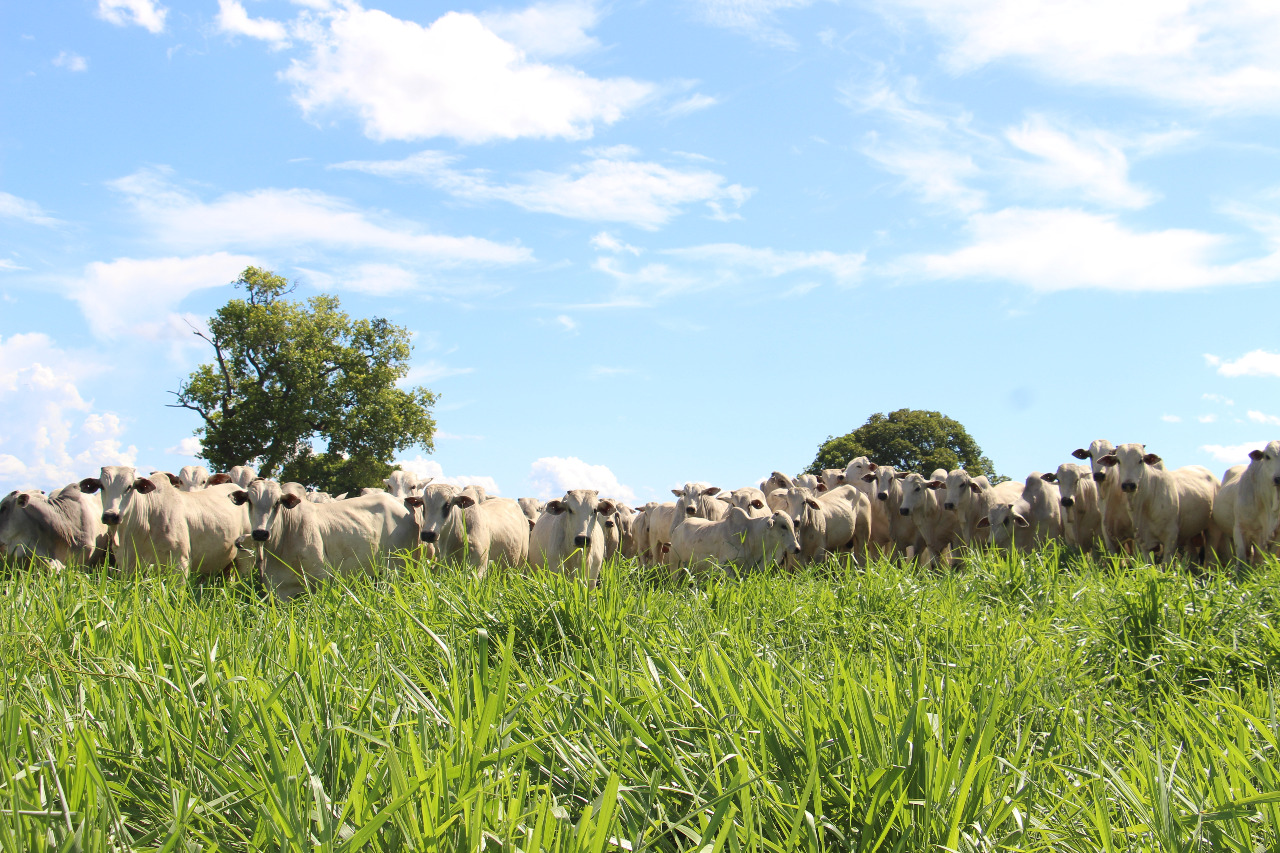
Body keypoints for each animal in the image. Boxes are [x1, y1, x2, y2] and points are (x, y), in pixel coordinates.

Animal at [82, 466, 249, 578]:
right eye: (102, 486)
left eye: (129, 487)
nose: (111, 515)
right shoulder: (127, 565)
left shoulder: (180, 563)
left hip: (245, 557)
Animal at [232, 473, 417, 594]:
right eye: (249, 501)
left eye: (277, 502)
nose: (260, 533)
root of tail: (402, 502)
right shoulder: (278, 591)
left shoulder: (321, 578)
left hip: (397, 567)